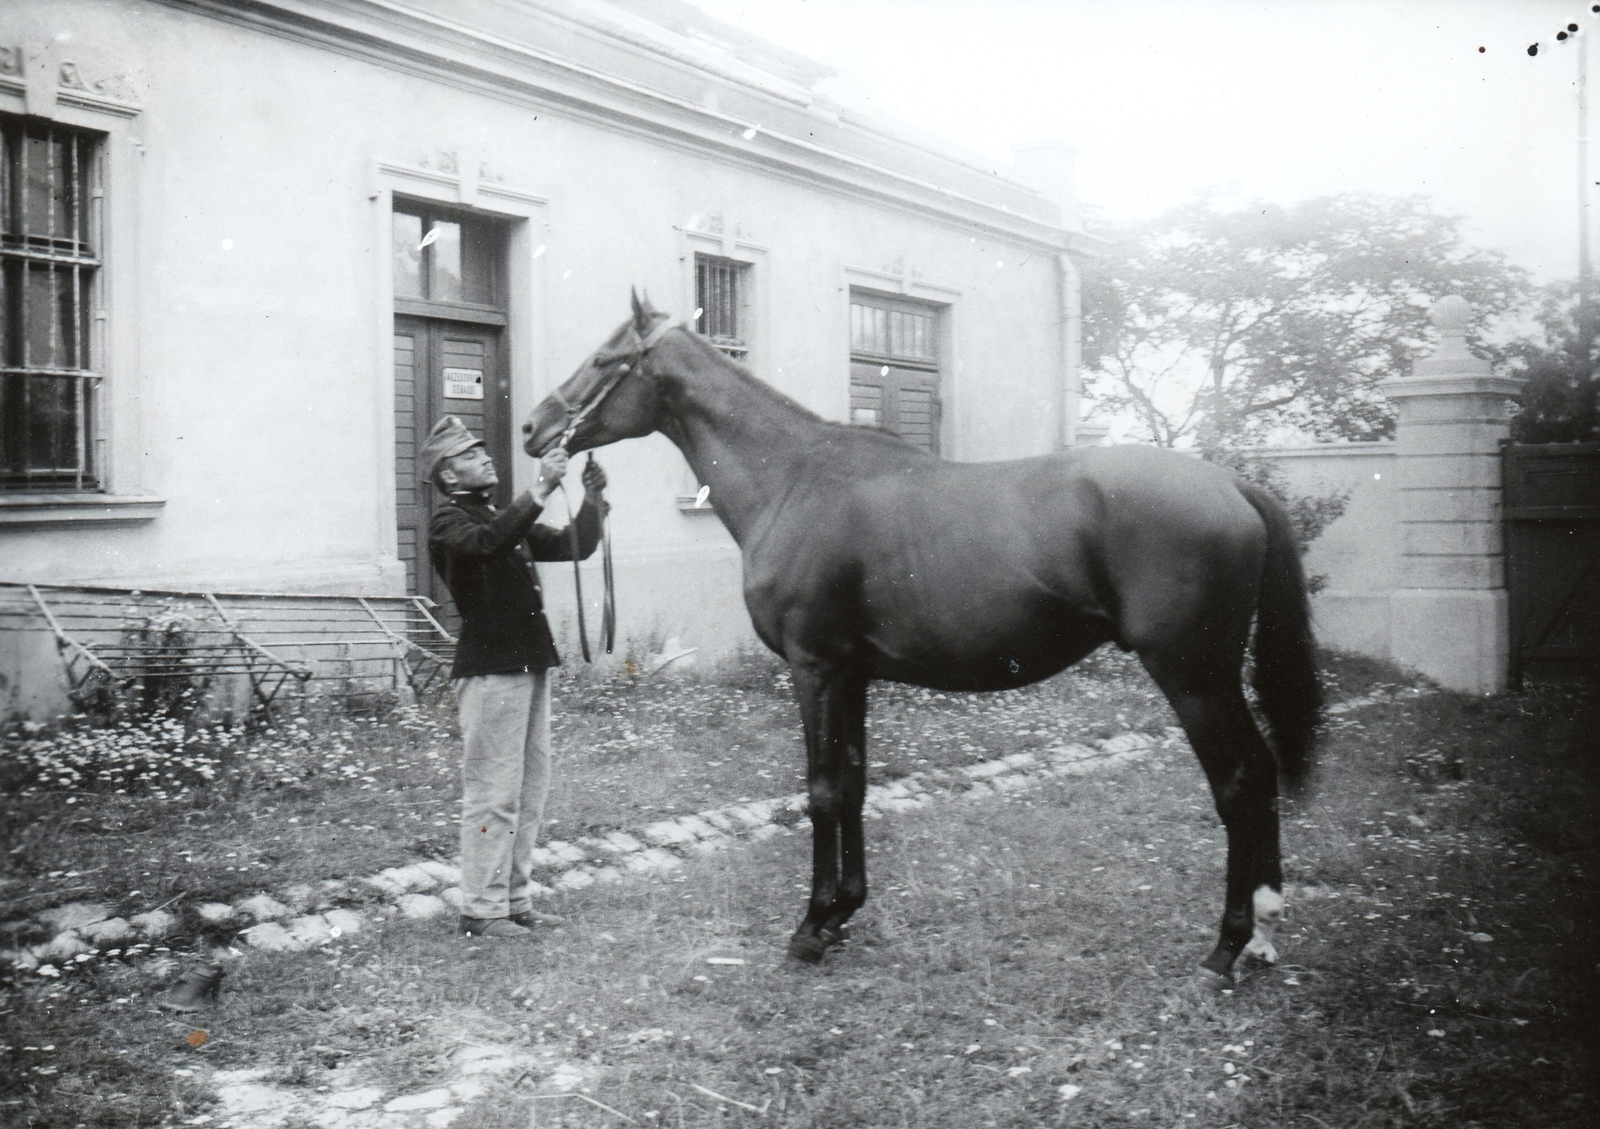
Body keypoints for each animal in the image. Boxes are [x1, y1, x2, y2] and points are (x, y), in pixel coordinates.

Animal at [524, 292, 1324, 985]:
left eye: (604, 358)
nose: (534, 428)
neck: (793, 479)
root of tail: (1230, 484)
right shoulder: (851, 675)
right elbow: (851, 784)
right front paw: (843, 913)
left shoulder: (816, 669)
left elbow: (821, 791)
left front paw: (809, 928)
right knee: (1260, 770)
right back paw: (1263, 934)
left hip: (1193, 675)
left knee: (1240, 781)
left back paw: (1229, 945)